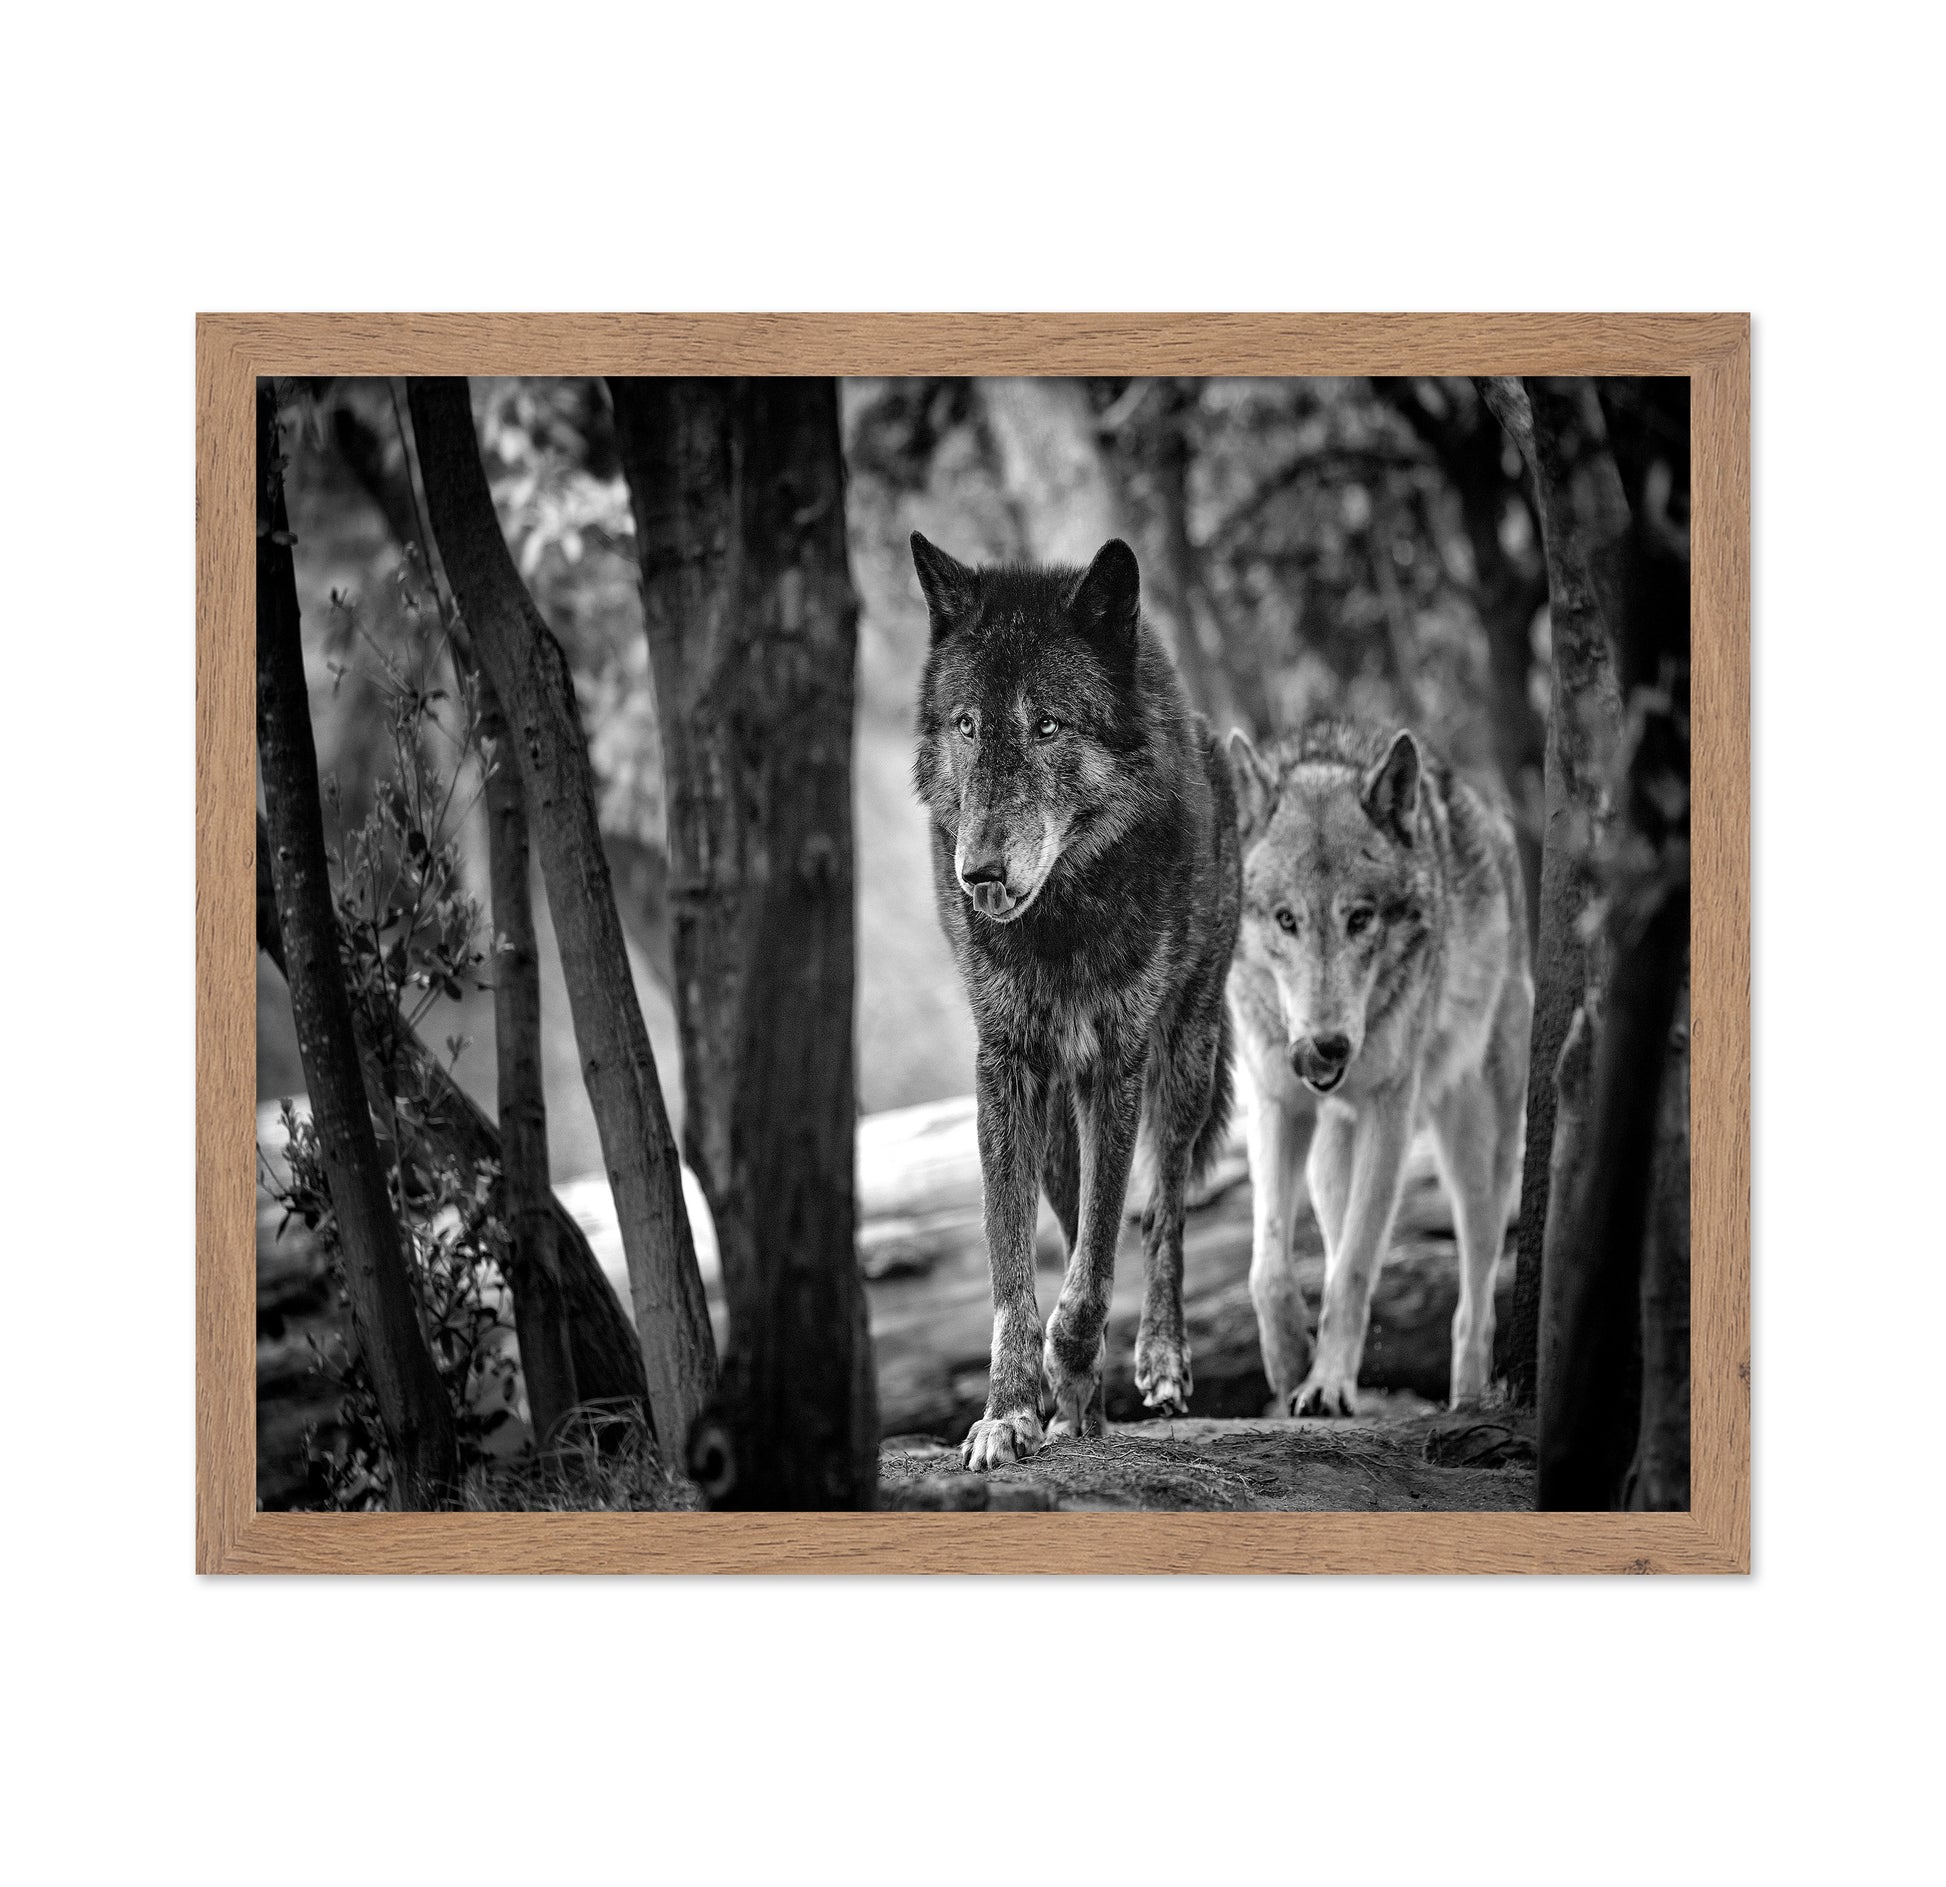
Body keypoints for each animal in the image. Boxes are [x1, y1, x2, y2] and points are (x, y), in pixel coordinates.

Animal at [910, 532, 1241, 1469]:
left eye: (1048, 724)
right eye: (967, 724)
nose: (978, 873)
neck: (1058, 922)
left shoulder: (1117, 1065)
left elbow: (1096, 1265)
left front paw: (1068, 1360)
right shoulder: (1005, 1067)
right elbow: (1012, 1271)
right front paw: (1011, 1410)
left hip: (1185, 1055)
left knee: (1163, 1211)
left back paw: (1158, 1359)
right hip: (1057, 1118)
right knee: (1069, 1217)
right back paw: (1078, 1409)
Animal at [1226, 719, 1532, 1415]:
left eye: (1360, 918)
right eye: (1286, 919)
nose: (1326, 1047)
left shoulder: (1389, 1112)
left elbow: (1356, 1268)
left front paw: (1328, 1382)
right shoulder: (1275, 1103)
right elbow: (1268, 1266)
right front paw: (1292, 1363)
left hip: (1476, 1153)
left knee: (1475, 1300)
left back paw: (1468, 1402)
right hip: (1328, 1160)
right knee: (1333, 1235)